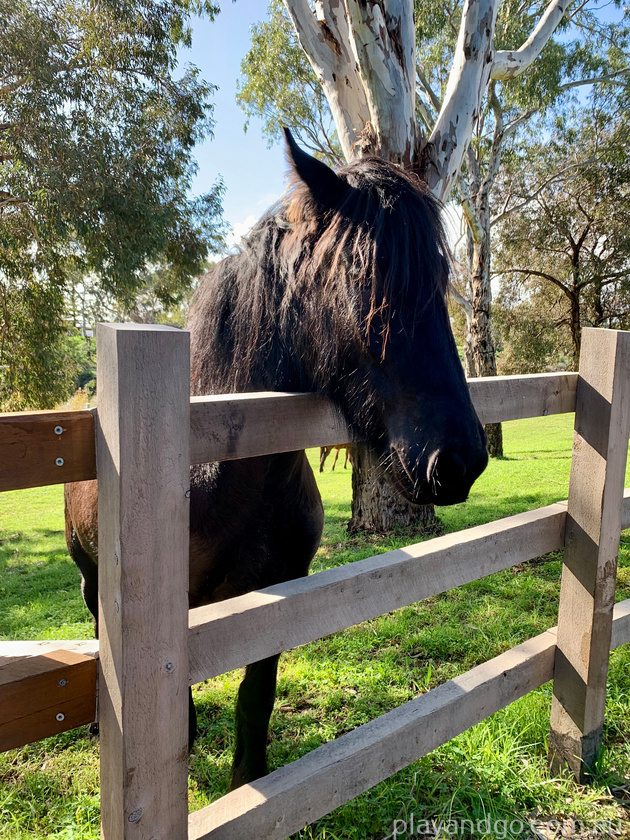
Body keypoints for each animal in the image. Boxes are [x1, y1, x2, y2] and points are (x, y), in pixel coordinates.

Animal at [64, 128, 488, 791]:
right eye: (364, 272)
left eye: (441, 277)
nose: (459, 458)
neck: (220, 474)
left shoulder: (276, 597)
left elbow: (254, 700)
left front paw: (248, 784)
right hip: (90, 574)